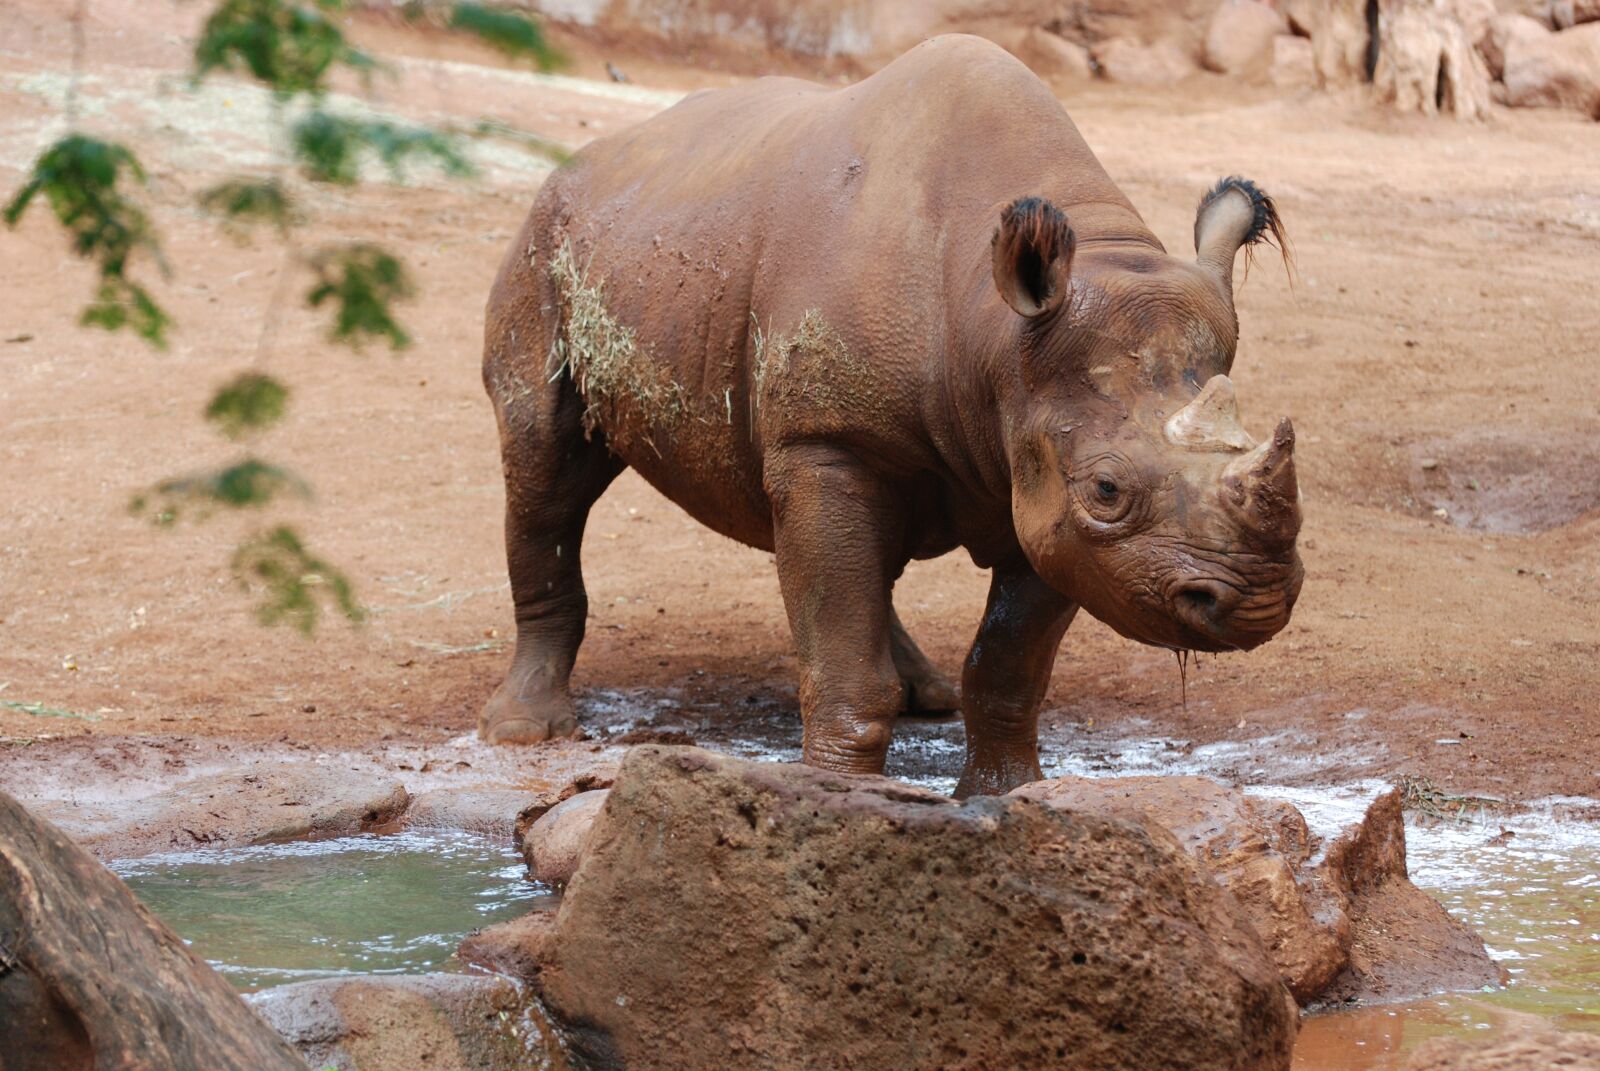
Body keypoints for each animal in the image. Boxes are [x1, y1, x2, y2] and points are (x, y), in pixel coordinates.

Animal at [479, 35, 1303, 796]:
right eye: (1107, 490)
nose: (1256, 603)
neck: (993, 332)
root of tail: (579, 162)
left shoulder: (1043, 480)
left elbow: (1008, 665)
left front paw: (1007, 799)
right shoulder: (833, 440)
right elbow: (847, 657)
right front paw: (842, 802)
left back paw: (924, 694)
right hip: (548, 244)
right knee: (546, 470)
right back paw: (522, 730)